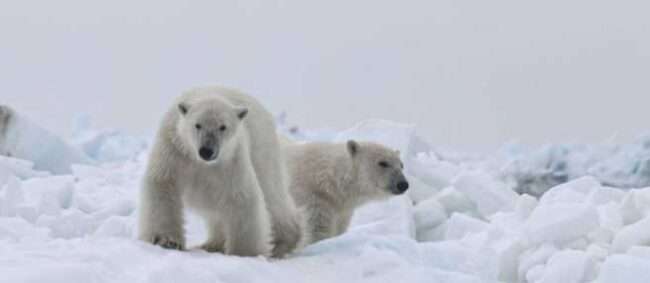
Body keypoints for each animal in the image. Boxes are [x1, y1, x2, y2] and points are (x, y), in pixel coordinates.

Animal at [139, 86, 302, 258]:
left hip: (262, 151)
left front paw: (243, 253)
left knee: (272, 195)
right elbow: (163, 184)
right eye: (197, 125)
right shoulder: (174, 149)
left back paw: (284, 242)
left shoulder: (231, 159)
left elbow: (240, 196)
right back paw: (212, 244)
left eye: (223, 127)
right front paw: (166, 241)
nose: (206, 151)